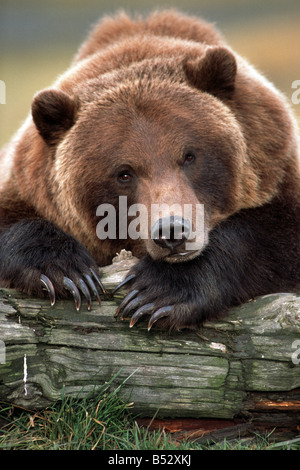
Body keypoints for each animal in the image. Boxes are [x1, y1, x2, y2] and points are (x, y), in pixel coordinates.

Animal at [0, 9, 300, 328]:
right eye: (124, 173)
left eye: (189, 156)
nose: (172, 231)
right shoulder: (26, 183)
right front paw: (68, 272)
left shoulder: (277, 168)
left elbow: (274, 240)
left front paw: (156, 292)